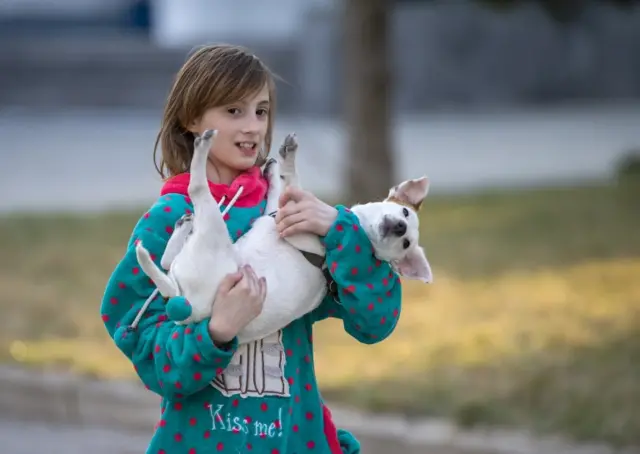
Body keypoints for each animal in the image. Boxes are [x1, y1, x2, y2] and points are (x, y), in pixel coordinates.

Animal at [137, 129, 432, 344]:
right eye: (404, 211)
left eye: (405, 244)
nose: (400, 228)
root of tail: (189, 305)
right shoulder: (276, 210)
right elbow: (278, 191)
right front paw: (273, 169)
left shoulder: (296, 225)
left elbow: (292, 183)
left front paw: (286, 161)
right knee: (166, 261)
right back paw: (181, 227)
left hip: (212, 231)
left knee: (197, 189)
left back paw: (202, 147)